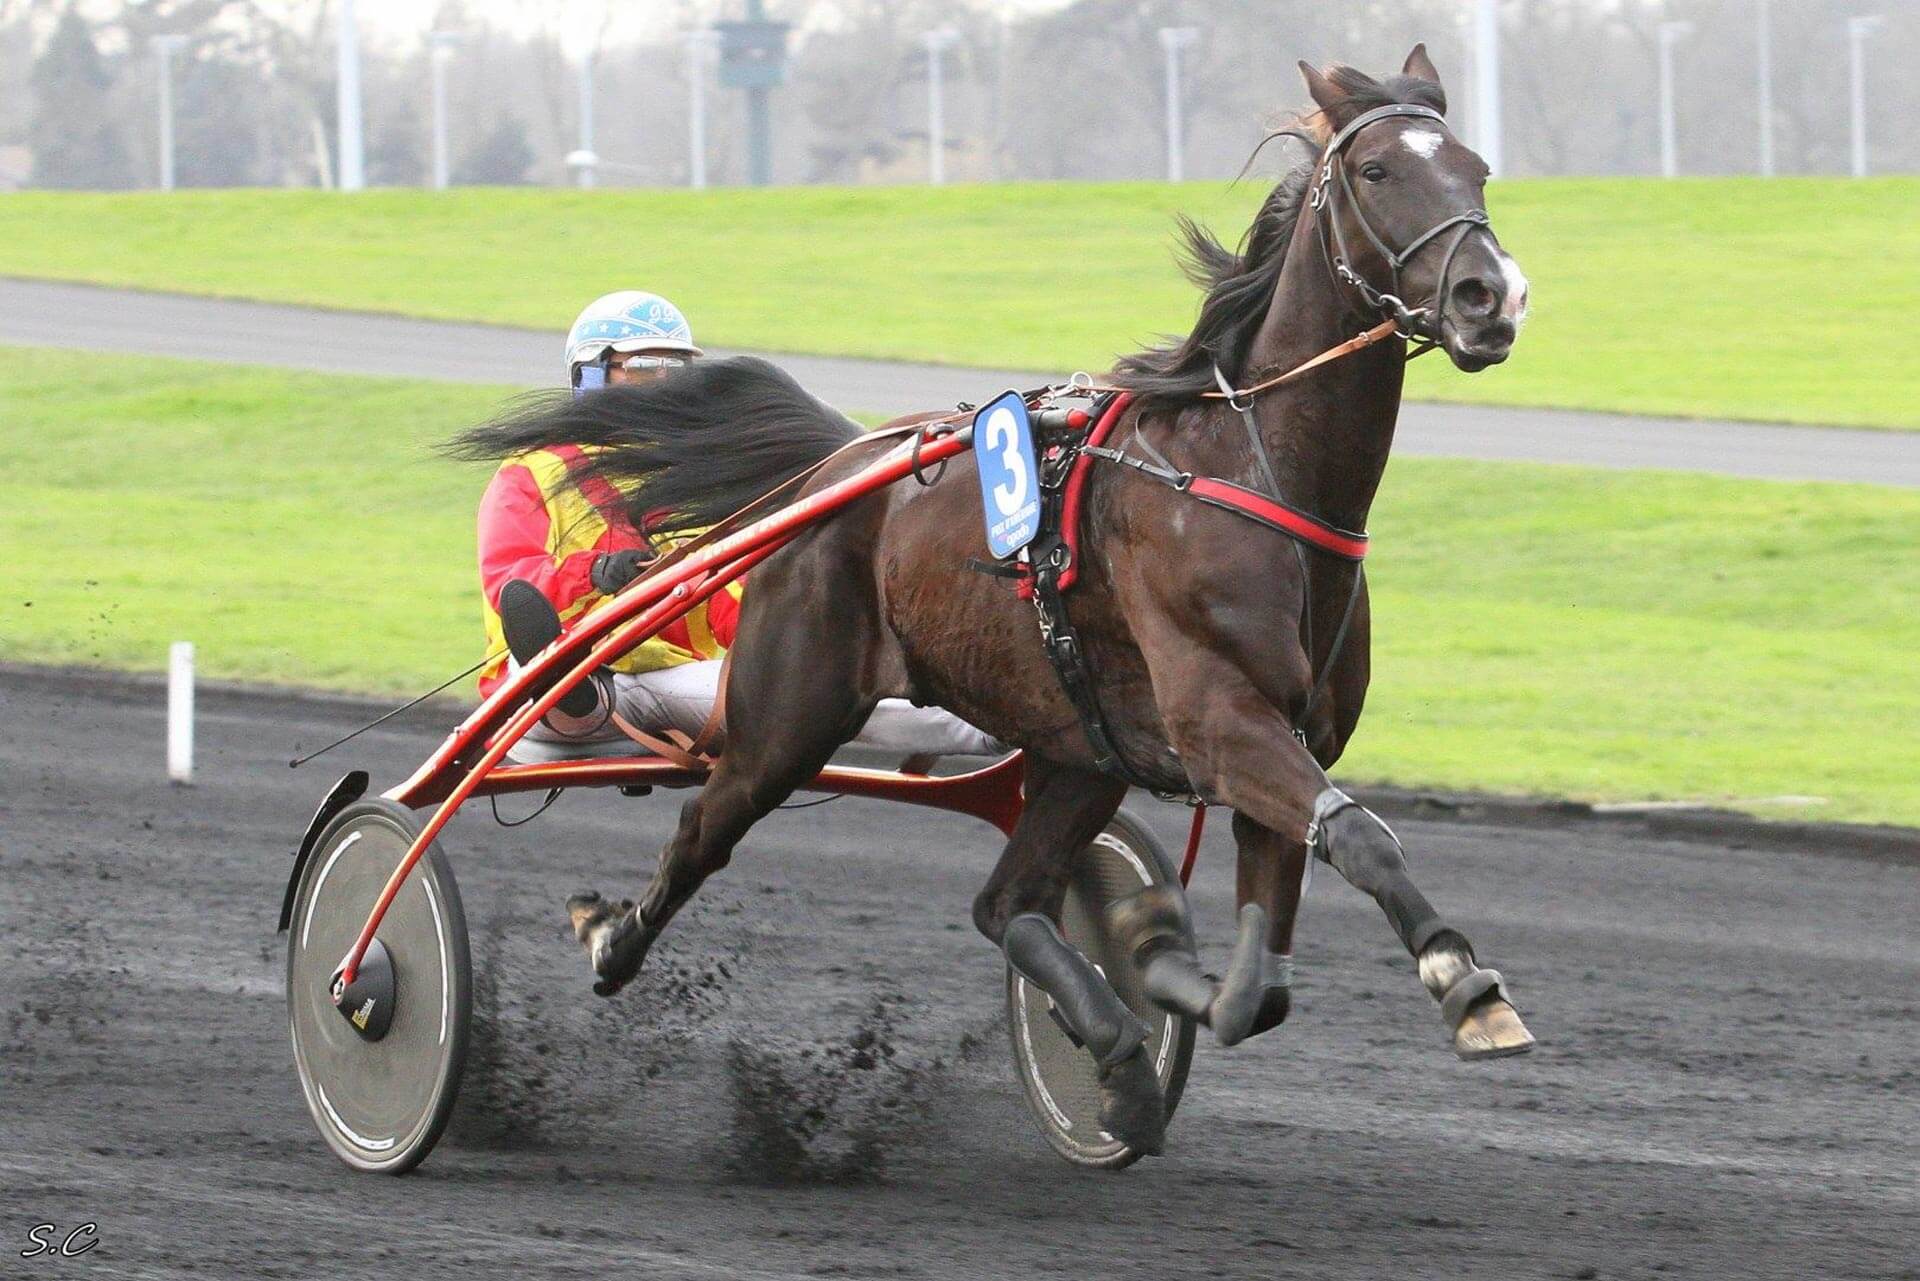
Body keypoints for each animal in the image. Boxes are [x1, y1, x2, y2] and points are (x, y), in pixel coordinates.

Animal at [456, 47, 1536, 1152]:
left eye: (1477, 167)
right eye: (1376, 171)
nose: (1491, 296)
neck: (1251, 473)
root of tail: (838, 465)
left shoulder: (1283, 740)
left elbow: (1258, 987)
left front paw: (1152, 957)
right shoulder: (1225, 725)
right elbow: (1361, 836)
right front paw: (1466, 984)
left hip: (1077, 748)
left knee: (1005, 900)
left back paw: (1116, 1052)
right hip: (787, 718)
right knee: (702, 827)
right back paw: (607, 938)